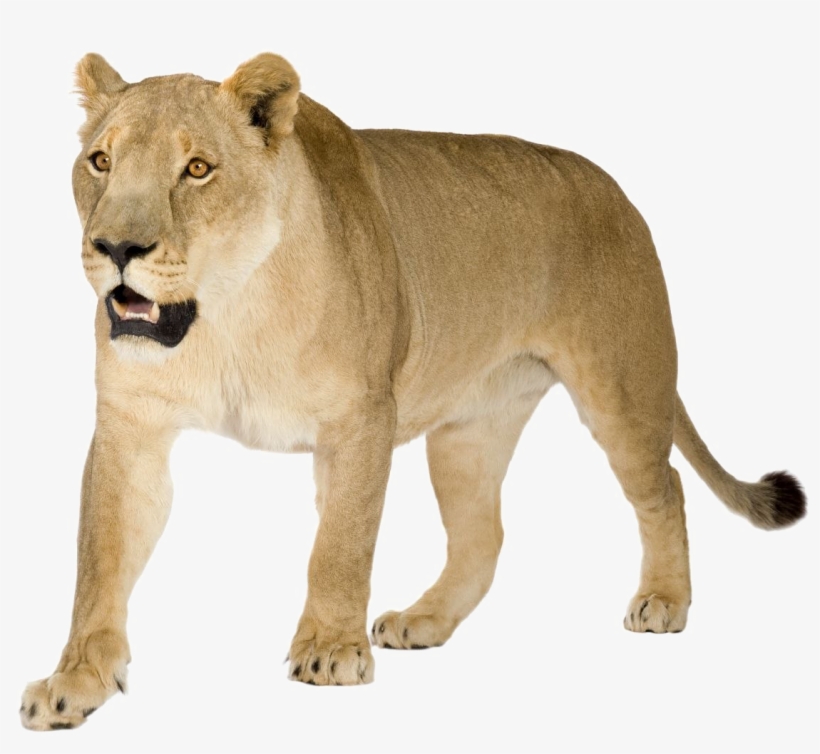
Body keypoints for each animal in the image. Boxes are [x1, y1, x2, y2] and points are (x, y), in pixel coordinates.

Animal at [20, 53, 805, 730]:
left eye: (197, 169)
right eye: (101, 161)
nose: (117, 249)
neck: (226, 315)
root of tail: (617, 189)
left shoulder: (361, 420)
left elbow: (339, 547)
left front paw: (329, 652)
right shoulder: (130, 428)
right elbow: (100, 561)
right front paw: (74, 682)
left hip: (622, 388)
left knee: (664, 487)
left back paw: (665, 599)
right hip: (470, 431)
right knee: (484, 536)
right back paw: (424, 621)